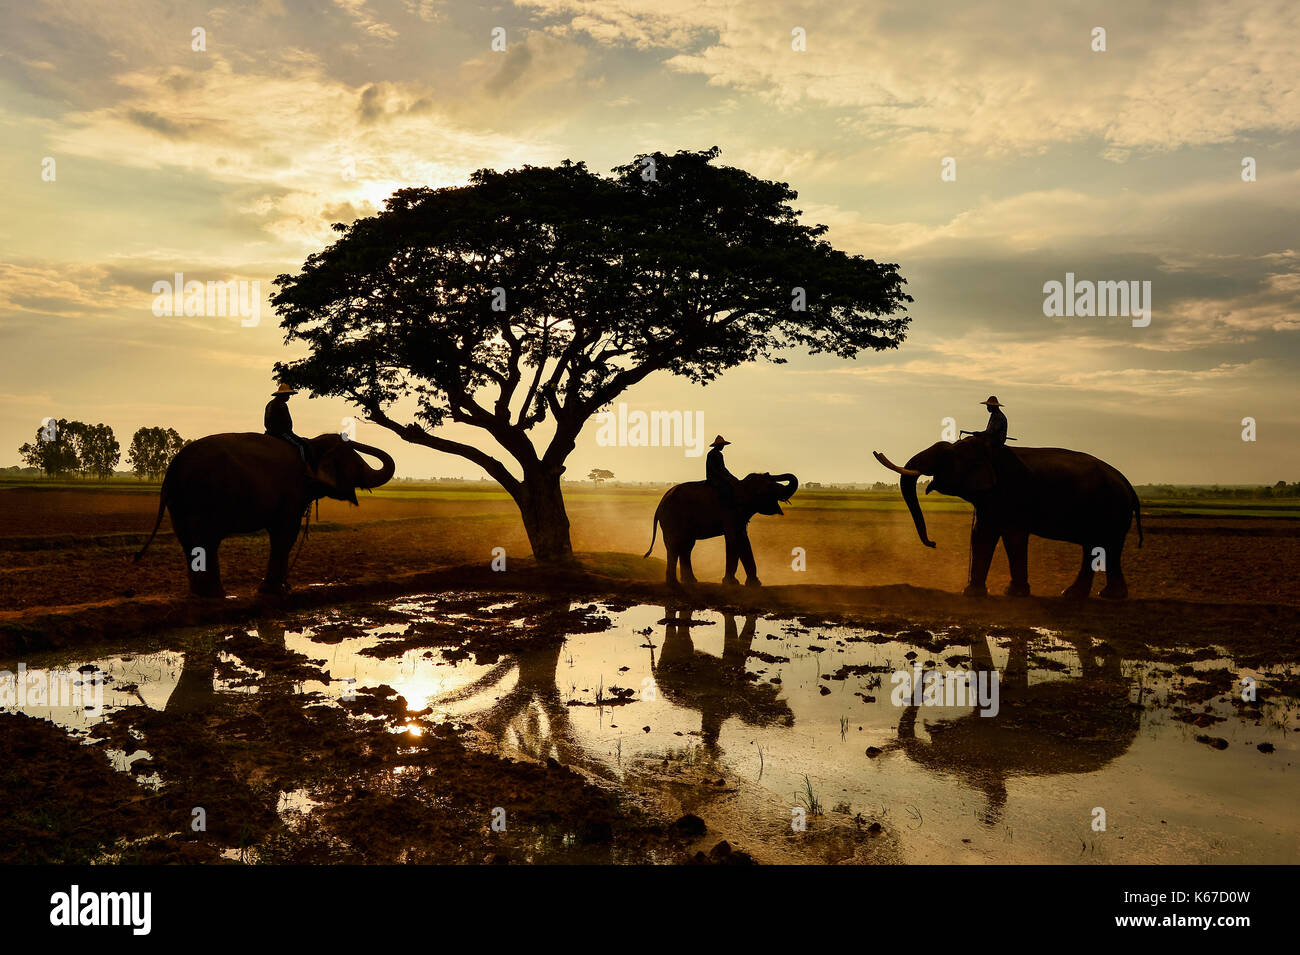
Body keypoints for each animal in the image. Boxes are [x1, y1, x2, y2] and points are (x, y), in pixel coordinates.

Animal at [135, 433, 395, 597]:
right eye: (356, 462)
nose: (350, 436)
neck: (310, 444)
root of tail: (172, 469)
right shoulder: (292, 491)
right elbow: (285, 533)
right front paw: (275, 591)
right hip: (202, 497)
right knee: (205, 540)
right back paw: (214, 595)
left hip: (179, 505)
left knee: (187, 540)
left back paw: (200, 594)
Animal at [644, 472, 795, 589]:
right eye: (769, 487)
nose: (768, 473)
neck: (741, 485)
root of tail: (660, 504)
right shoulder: (730, 513)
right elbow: (734, 538)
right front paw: (732, 583)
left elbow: (743, 539)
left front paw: (754, 584)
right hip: (672, 519)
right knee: (674, 546)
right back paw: (674, 584)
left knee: (686, 547)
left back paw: (690, 581)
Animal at [878, 439, 1144, 597]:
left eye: (943, 456)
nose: (933, 543)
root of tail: (1128, 484)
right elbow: (982, 534)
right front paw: (972, 593)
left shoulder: (1012, 493)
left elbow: (1013, 535)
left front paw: (1013, 594)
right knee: (1097, 548)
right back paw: (1081, 595)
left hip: (1113, 510)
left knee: (1106, 546)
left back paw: (1099, 596)